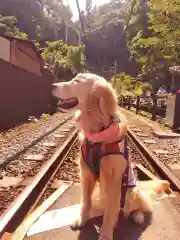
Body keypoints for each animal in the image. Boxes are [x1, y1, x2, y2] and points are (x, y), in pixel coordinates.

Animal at [52, 73, 172, 240]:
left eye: (77, 81)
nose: (52, 85)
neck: (98, 135)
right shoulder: (86, 174)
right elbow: (85, 202)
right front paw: (82, 219)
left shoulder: (114, 180)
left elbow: (110, 213)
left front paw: (105, 235)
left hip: (132, 193)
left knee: (142, 206)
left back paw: (138, 216)